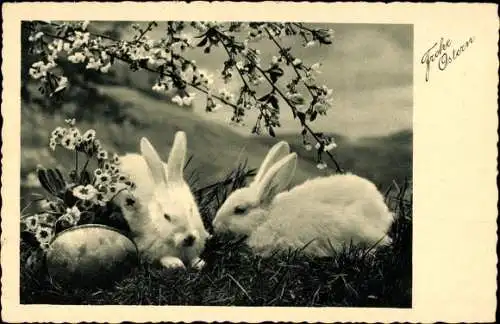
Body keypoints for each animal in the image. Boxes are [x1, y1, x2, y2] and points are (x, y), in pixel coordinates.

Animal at [115, 132, 209, 270]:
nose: (189, 238)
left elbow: (193, 258)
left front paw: (199, 263)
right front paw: (175, 263)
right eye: (166, 216)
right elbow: (163, 257)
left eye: (191, 210)